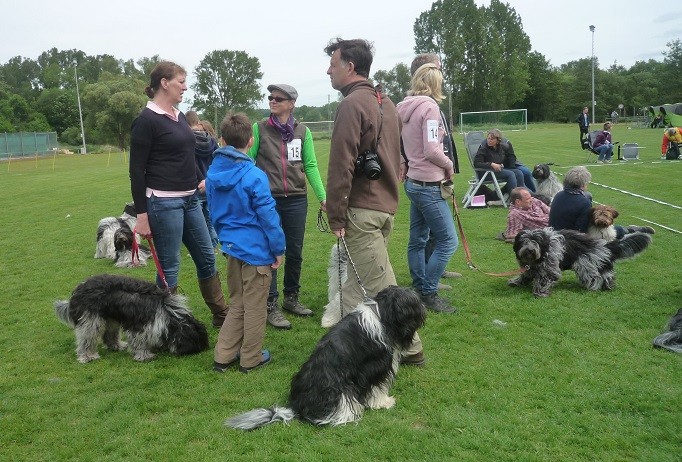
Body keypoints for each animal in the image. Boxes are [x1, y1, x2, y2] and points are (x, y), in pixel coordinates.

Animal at [55, 272, 207, 362]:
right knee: (87, 337)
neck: (168, 311)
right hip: (90, 319)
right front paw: (144, 355)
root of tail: (78, 290)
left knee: (109, 334)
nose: (199, 349)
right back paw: (87, 356)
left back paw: (116, 345)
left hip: (111, 318)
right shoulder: (140, 325)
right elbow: (139, 341)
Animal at [226, 286, 422, 430]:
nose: (423, 307)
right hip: (340, 389)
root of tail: (296, 406)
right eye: (413, 304)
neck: (381, 314)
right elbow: (378, 388)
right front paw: (384, 402)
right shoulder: (376, 367)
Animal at [510, 229, 648, 298]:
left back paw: (593, 288)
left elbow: (544, 280)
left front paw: (540, 292)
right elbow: (525, 275)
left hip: (586, 264)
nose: (530, 250)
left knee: (596, 277)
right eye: (524, 241)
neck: (545, 248)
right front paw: (516, 282)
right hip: (601, 264)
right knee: (608, 276)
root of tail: (605, 246)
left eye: (535, 241)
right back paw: (608, 287)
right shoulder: (531, 268)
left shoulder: (550, 269)